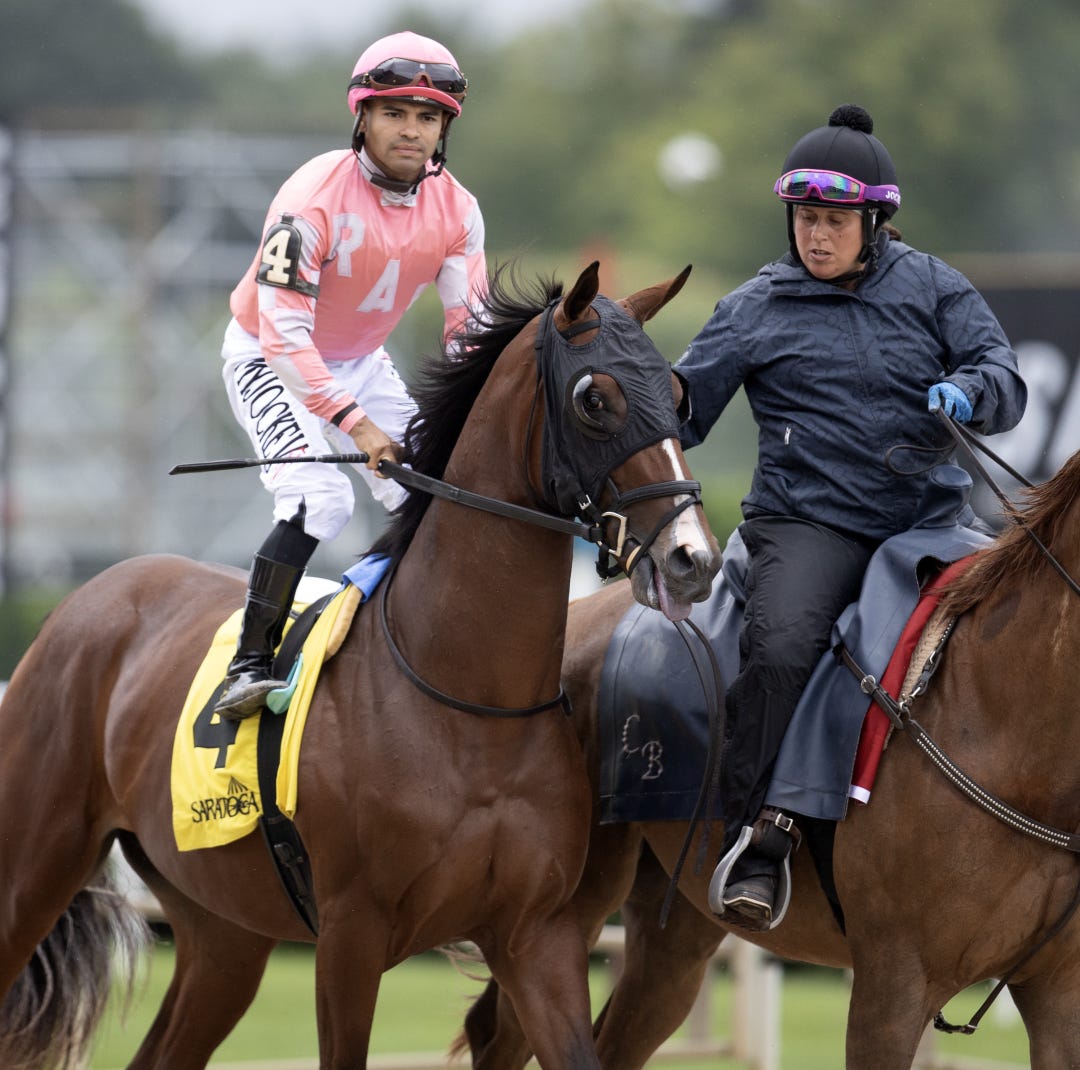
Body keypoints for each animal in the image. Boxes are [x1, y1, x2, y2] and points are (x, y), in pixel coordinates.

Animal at [0, 260, 722, 1070]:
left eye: (678, 393)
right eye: (595, 399)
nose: (692, 560)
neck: (469, 703)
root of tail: (87, 598)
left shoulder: (538, 937)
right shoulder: (351, 934)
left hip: (223, 928)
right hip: (33, 865)